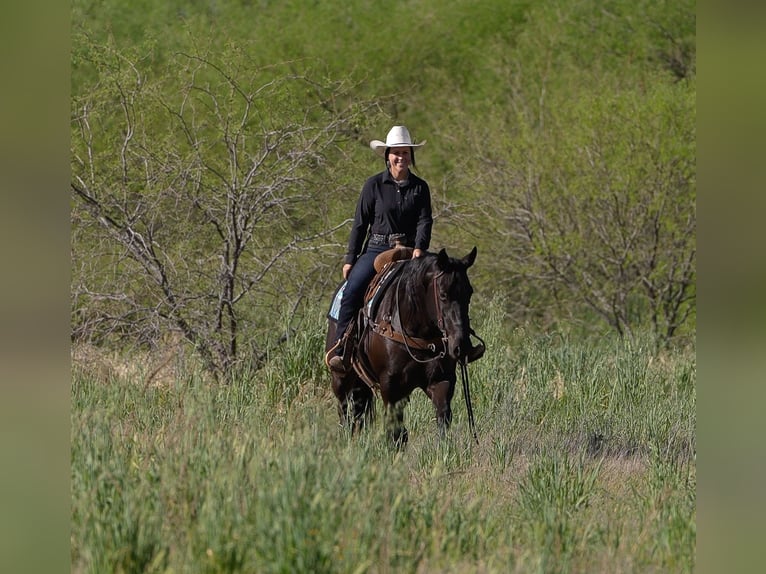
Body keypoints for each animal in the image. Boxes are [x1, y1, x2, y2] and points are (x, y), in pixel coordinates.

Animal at [325, 246, 481, 446]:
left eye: (469, 293)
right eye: (443, 295)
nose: (461, 346)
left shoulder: (442, 380)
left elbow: (442, 418)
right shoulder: (390, 386)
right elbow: (396, 432)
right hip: (341, 378)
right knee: (345, 412)